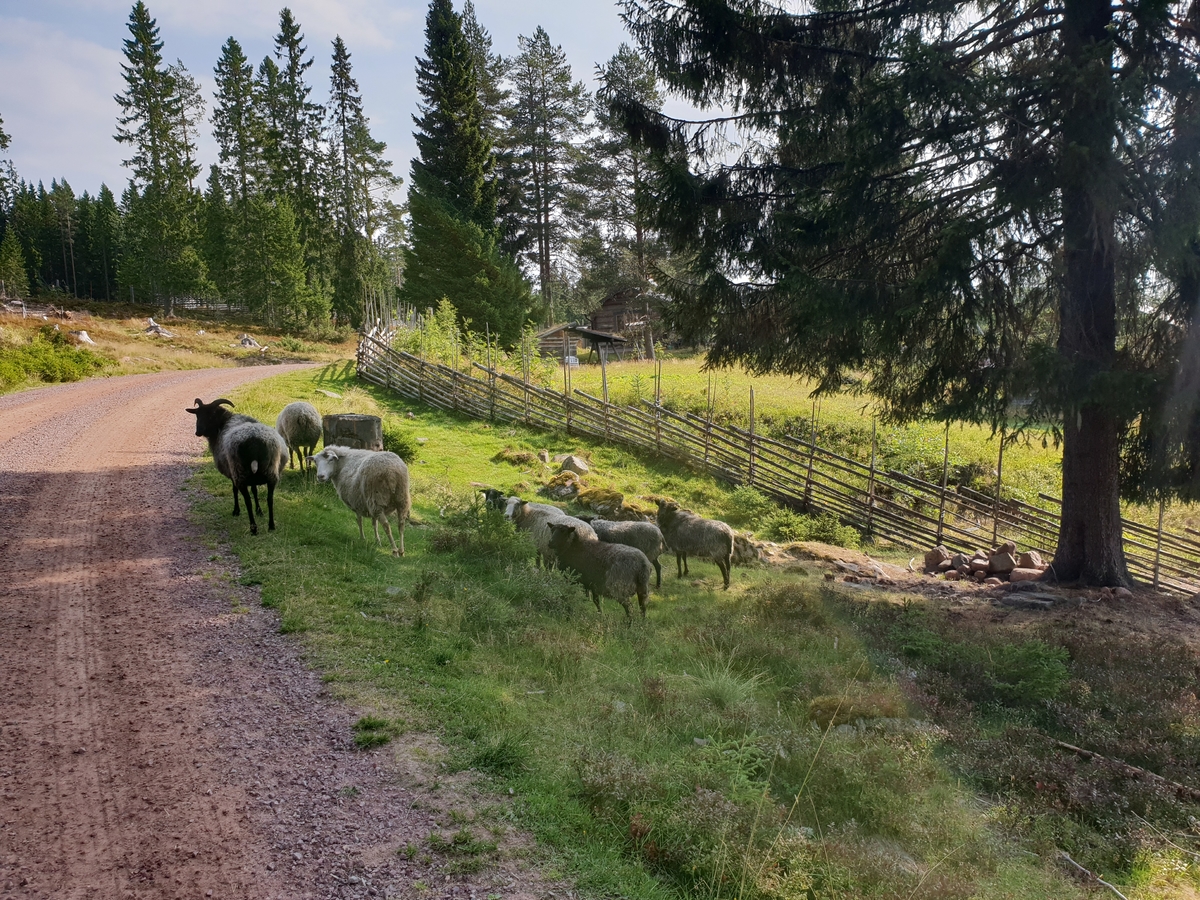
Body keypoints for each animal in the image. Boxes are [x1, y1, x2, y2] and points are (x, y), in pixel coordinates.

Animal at [187, 397, 288, 535]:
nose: (198, 432)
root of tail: (254, 442)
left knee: (247, 501)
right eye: (197, 414)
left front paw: (236, 511)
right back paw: (271, 526)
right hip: (271, 472)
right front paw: (259, 511)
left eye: (211, 414)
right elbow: (255, 491)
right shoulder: (251, 478)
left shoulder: (232, 472)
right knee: (269, 499)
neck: (223, 423)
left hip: (240, 472)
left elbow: (234, 490)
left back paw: (253, 528)